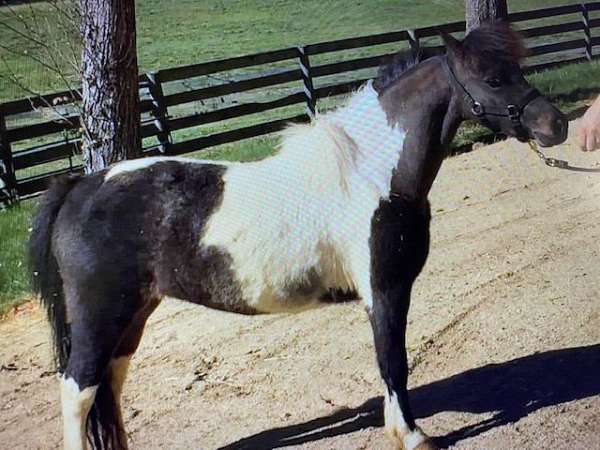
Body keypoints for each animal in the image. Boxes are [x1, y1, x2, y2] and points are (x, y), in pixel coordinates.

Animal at [31, 23, 568, 450]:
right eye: (493, 78)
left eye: (517, 69)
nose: (556, 124)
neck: (371, 172)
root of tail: (81, 185)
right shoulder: (386, 290)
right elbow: (393, 361)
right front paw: (414, 436)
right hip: (101, 314)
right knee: (78, 390)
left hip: (134, 313)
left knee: (110, 384)